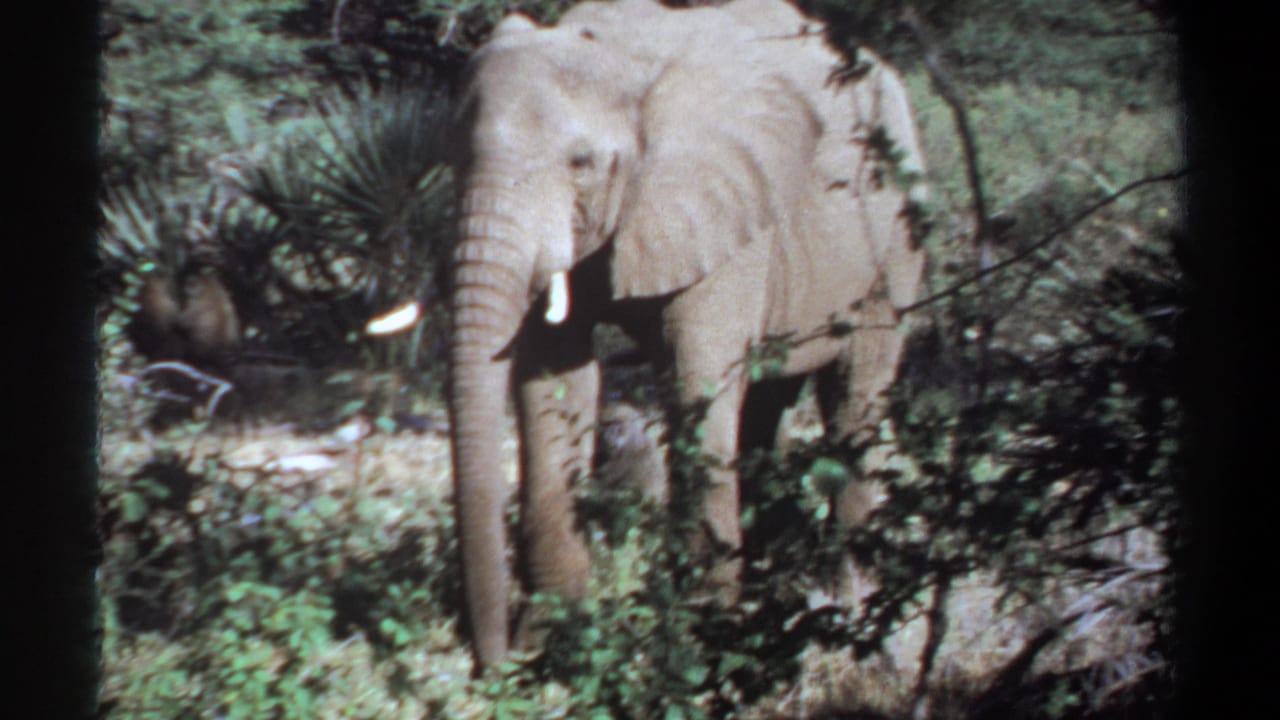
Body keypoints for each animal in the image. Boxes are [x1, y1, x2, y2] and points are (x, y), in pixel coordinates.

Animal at [446, 0, 928, 668]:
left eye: (581, 164)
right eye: (453, 156)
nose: (490, 665)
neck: (615, 57)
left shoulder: (727, 208)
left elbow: (698, 382)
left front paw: (701, 652)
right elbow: (553, 381)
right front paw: (554, 644)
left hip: (894, 241)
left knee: (855, 394)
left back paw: (859, 621)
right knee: (769, 401)